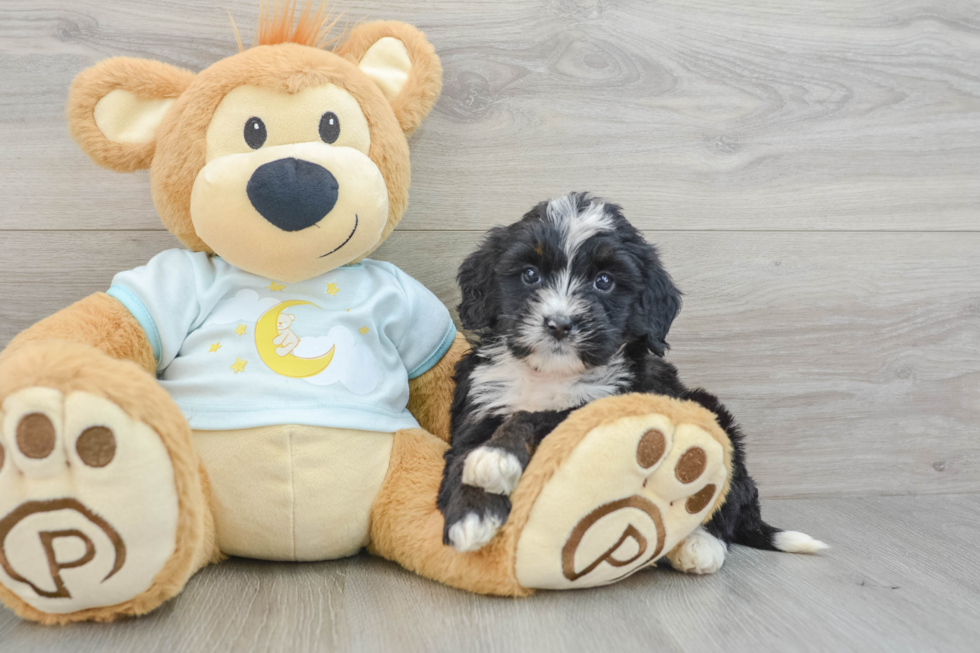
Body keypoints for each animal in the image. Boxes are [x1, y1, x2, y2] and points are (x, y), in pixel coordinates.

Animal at [438, 192, 828, 572]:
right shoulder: (482, 400)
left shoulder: (609, 408)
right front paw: (470, 515)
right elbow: (465, 451)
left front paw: (495, 457)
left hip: (713, 416)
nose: (560, 324)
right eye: (530, 274)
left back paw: (700, 545)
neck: (550, 373)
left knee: (727, 500)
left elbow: (539, 417)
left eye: (604, 281)